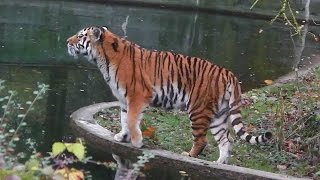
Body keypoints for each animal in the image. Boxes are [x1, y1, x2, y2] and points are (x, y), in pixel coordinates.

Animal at [66, 26, 272, 163]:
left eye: (80, 36)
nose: (67, 42)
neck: (103, 59)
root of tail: (227, 72)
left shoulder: (137, 97)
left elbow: (132, 120)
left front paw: (136, 142)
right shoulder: (124, 101)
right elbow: (124, 120)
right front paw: (122, 137)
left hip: (198, 110)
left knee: (202, 140)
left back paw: (189, 155)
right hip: (219, 115)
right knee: (226, 140)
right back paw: (219, 163)